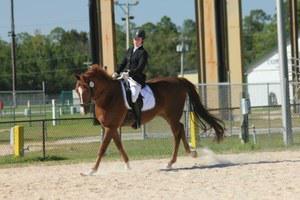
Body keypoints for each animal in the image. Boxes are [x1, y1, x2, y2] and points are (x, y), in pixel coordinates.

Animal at [76, 64, 224, 175]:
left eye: (85, 89)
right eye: (77, 90)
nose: (83, 109)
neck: (109, 95)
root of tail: (178, 80)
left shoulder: (110, 127)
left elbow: (102, 149)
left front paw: (91, 170)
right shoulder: (111, 127)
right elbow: (119, 146)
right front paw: (128, 165)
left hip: (172, 116)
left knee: (177, 133)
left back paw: (172, 161)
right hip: (167, 116)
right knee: (181, 128)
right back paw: (189, 153)